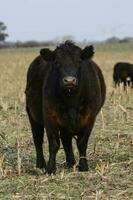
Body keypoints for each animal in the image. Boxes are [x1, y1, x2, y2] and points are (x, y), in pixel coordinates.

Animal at [25, 40, 106, 173]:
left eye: (79, 62)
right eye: (57, 63)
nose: (69, 81)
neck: (71, 99)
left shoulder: (90, 117)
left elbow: (82, 143)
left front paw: (83, 166)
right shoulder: (49, 116)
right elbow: (53, 144)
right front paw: (50, 168)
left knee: (66, 140)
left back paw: (71, 162)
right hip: (32, 115)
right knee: (38, 140)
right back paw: (40, 164)